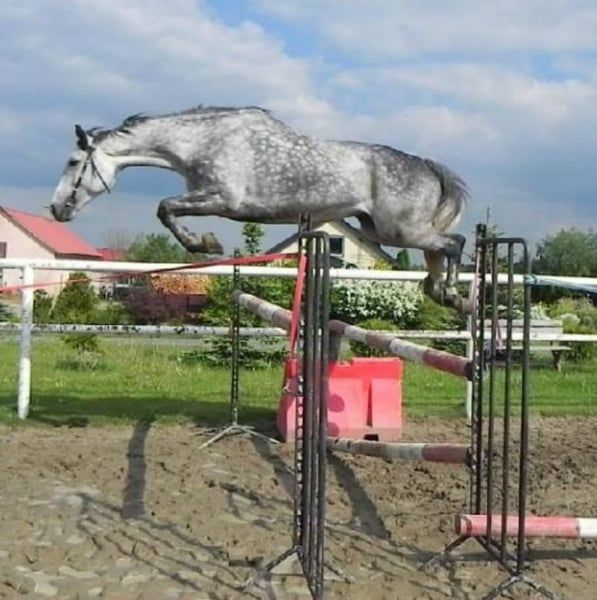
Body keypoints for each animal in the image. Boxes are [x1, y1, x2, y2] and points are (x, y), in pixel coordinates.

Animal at [50, 105, 470, 312]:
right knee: (439, 251)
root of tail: (427, 166)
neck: (200, 141)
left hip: (397, 230)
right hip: (382, 229)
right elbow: (167, 210)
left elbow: (165, 208)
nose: (56, 209)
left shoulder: (221, 199)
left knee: (454, 243)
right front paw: (204, 242)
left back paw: (452, 292)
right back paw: (443, 295)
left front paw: (205, 243)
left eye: (72, 162)